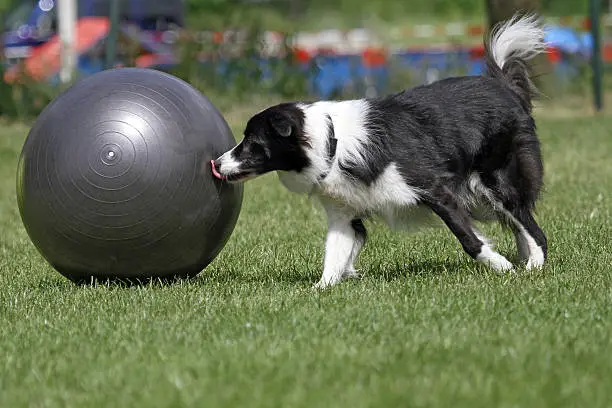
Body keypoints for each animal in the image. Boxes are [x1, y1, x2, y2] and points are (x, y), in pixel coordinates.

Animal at [212, 14, 548, 288]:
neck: (332, 145)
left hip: (496, 182)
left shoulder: (435, 189)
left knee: (534, 230)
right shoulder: (343, 212)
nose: (216, 163)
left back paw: (532, 267)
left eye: (252, 142)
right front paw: (321, 289)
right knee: (521, 226)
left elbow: (469, 239)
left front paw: (500, 266)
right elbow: (334, 255)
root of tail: (504, 86)